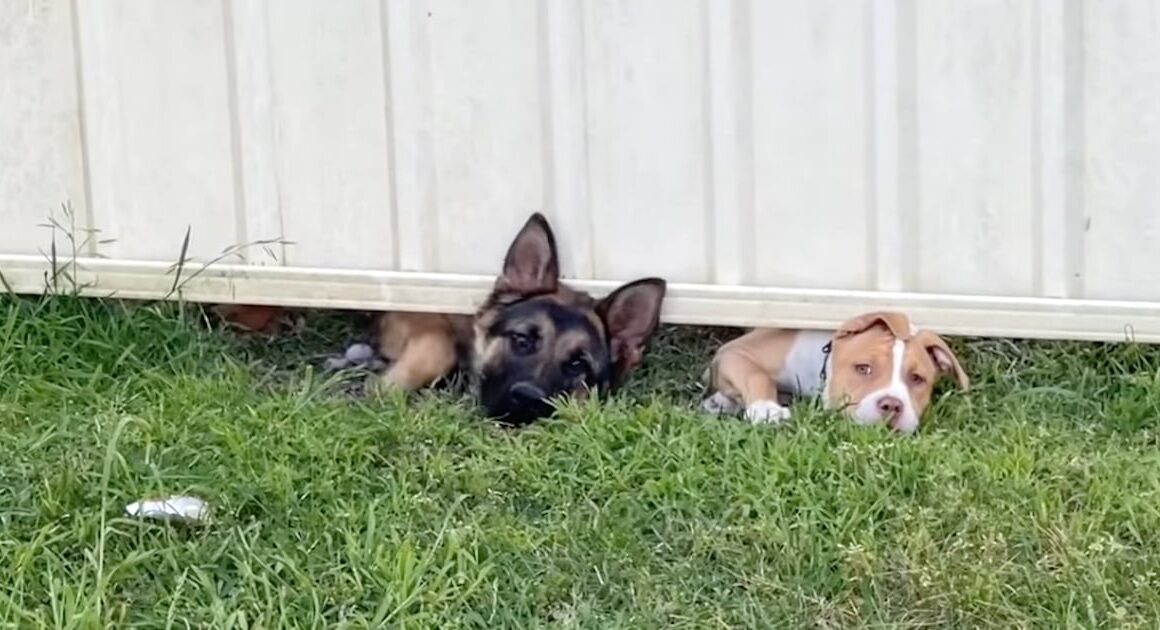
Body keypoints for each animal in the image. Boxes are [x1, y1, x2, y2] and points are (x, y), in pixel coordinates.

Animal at [701, 311, 968, 434]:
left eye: (917, 379)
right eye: (863, 368)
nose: (892, 405)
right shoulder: (734, 352)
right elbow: (758, 375)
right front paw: (766, 409)